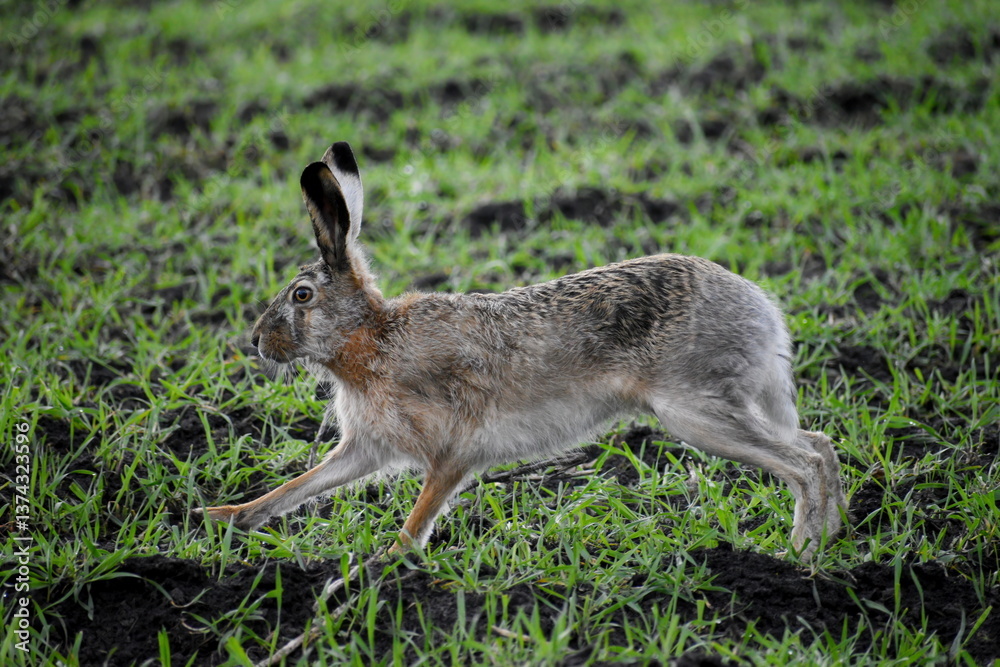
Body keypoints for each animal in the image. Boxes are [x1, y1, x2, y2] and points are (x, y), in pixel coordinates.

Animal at [201, 141, 847, 557]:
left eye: (302, 295)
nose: (256, 340)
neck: (371, 337)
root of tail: (762, 313)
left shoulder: (453, 449)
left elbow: (421, 513)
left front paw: (385, 563)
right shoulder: (366, 447)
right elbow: (300, 486)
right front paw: (226, 518)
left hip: (693, 410)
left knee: (804, 462)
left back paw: (800, 553)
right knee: (819, 443)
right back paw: (835, 535)